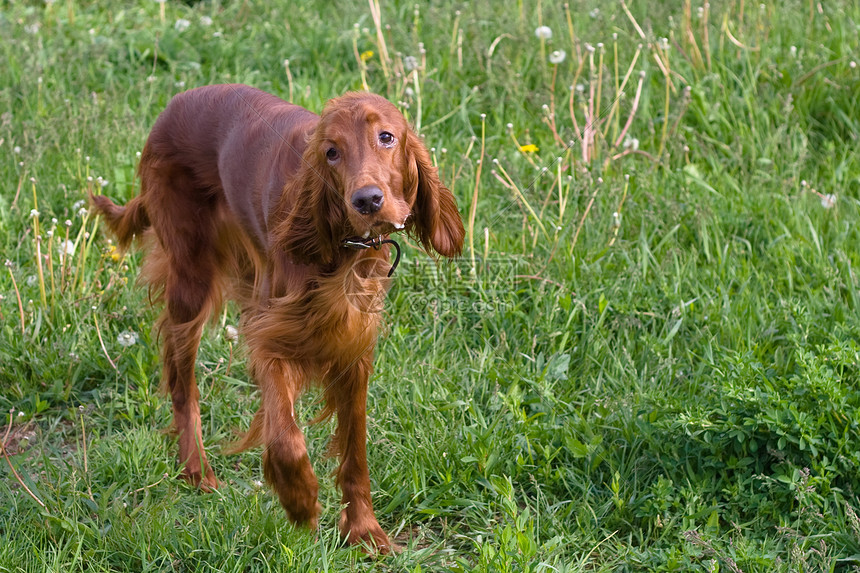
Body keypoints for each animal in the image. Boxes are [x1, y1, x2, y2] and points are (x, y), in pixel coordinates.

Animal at [93, 85, 464, 548]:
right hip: (190, 280)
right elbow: (286, 437)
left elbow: (355, 449)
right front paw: (300, 500)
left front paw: (364, 531)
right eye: (331, 152)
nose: (367, 200)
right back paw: (197, 470)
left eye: (387, 137)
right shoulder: (271, 337)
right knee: (182, 383)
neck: (340, 250)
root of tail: (173, 105)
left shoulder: (354, 348)